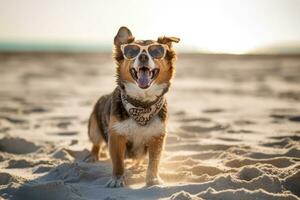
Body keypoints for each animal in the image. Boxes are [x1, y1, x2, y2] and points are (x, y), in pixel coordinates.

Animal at [88, 26, 179, 188]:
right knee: (96, 143)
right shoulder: (116, 136)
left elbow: (154, 162)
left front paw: (153, 179)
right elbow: (118, 162)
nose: (143, 57)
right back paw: (93, 156)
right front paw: (117, 179)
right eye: (132, 51)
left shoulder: (157, 137)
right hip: (93, 127)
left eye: (156, 51)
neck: (142, 105)